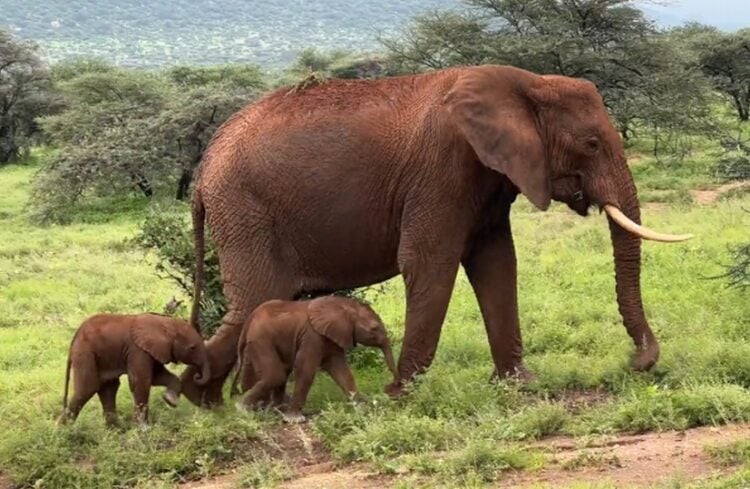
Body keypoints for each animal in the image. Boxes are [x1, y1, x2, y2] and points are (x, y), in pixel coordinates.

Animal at [57, 312, 212, 424]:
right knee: (87, 388)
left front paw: (170, 401)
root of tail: (74, 339)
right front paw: (143, 429)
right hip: (85, 353)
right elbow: (141, 381)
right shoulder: (137, 350)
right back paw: (62, 431)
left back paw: (116, 431)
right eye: (192, 348)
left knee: (108, 388)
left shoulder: (151, 350)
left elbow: (157, 377)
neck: (166, 322)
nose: (197, 376)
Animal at [178, 65, 692, 408]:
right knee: (255, 300)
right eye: (591, 144)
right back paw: (207, 402)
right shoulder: (443, 170)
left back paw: (215, 403)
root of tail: (203, 172)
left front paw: (519, 385)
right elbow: (430, 262)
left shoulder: (486, 178)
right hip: (245, 210)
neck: (526, 82)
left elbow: (497, 264)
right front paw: (402, 395)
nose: (637, 364)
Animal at [234, 296, 400, 422]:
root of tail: (249, 320)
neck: (343, 305)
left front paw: (362, 409)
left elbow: (342, 371)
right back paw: (242, 409)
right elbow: (305, 370)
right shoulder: (312, 336)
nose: (391, 385)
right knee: (277, 375)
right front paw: (295, 419)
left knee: (282, 373)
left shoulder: (332, 337)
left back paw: (275, 411)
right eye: (374, 329)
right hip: (260, 339)